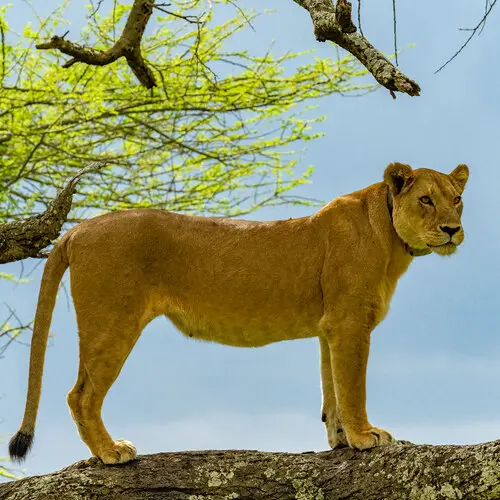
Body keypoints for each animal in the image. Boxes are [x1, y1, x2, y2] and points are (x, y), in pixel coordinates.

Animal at [7, 163, 468, 464]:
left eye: (457, 200)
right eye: (426, 200)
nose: (452, 230)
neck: (391, 238)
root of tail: (76, 229)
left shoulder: (331, 326)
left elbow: (332, 388)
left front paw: (340, 439)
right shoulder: (350, 322)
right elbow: (353, 387)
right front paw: (365, 436)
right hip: (112, 323)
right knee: (80, 395)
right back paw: (110, 452)